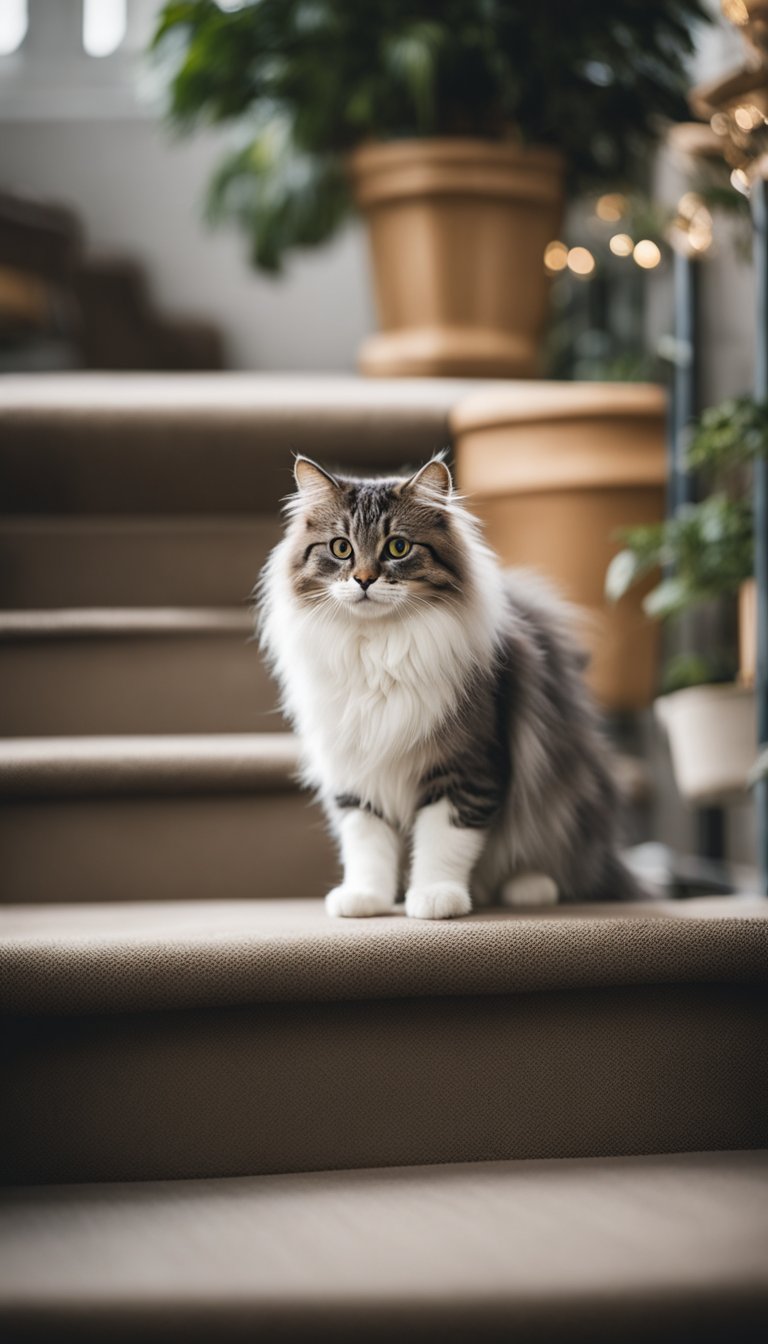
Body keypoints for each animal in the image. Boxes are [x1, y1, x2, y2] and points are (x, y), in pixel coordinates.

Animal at [259, 456, 642, 919]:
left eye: (397, 548)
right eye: (340, 548)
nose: (364, 579)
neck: (378, 652)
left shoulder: (467, 766)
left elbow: (443, 839)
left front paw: (435, 898)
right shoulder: (356, 769)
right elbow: (367, 844)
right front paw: (366, 899)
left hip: (567, 800)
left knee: (563, 867)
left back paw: (529, 887)